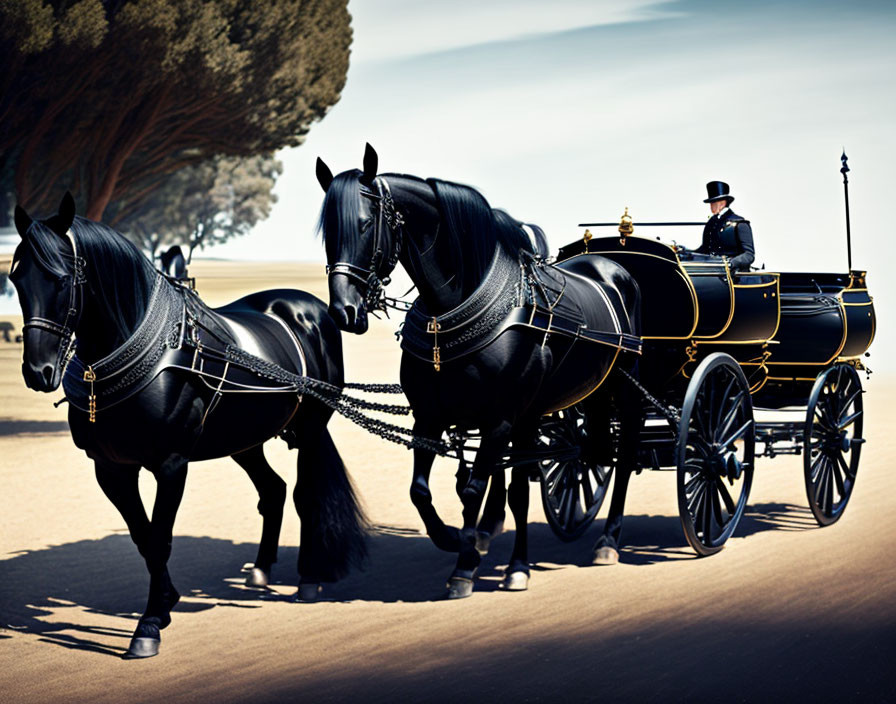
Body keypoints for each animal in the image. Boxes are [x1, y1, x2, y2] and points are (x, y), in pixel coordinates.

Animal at [8, 191, 366, 656]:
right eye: (16, 279)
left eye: (62, 279)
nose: (39, 371)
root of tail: (310, 308)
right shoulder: (110, 468)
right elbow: (143, 537)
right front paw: (164, 603)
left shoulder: (170, 464)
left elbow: (160, 537)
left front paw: (147, 626)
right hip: (243, 439)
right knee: (272, 491)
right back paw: (261, 569)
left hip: (309, 429)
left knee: (305, 494)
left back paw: (308, 578)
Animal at [316, 146, 644, 596]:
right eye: (328, 232)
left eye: (366, 224)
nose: (344, 310)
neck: (453, 309)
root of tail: (613, 268)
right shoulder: (431, 416)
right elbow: (424, 491)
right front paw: (455, 539)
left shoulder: (502, 418)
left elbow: (478, 489)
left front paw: (474, 564)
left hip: (619, 392)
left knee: (621, 458)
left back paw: (607, 541)